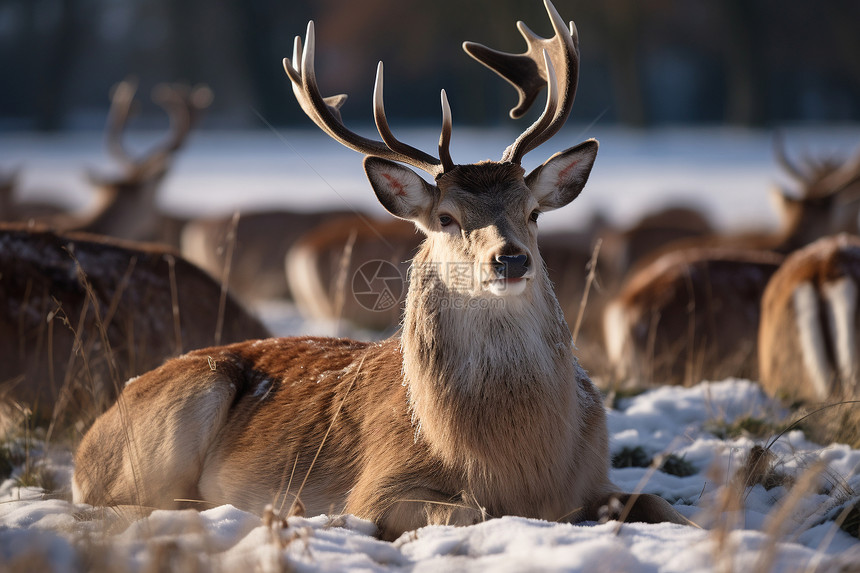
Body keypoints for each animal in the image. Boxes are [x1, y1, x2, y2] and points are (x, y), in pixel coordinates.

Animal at [74, 3, 692, 540]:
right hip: (182, 408)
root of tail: (86, 442)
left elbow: (662, 503)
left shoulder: (594, 474)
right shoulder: (375, 488)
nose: (511, 258)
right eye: (445, 217)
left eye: (533, 211)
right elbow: (470, 511)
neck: (523, 463)